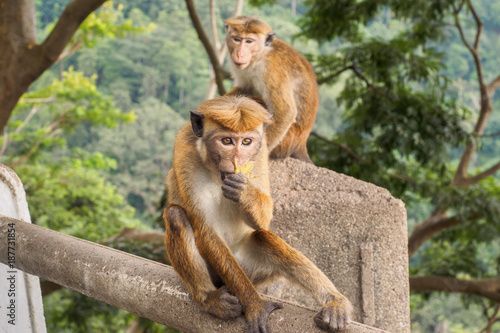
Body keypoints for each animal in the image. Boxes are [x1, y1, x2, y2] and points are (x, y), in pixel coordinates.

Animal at [162, 94, 350, 332]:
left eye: (246, 142)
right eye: (227, 141)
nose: (239, 159)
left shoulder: (260, 153)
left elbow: (264, 221)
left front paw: (245, 192)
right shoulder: (184, 150)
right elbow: (205, 230)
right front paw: (255, 306)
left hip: (251, 270)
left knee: (265, 238)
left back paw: (335, 303)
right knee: (175, 216)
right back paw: (209, 299)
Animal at [225, 15, 318, 163]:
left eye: (249, 41)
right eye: (237, 39)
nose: (240, 54)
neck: (261, 54)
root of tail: (301, 144)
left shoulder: (271, 70)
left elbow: (284, 112)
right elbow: (245, 89)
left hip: (287, 140)